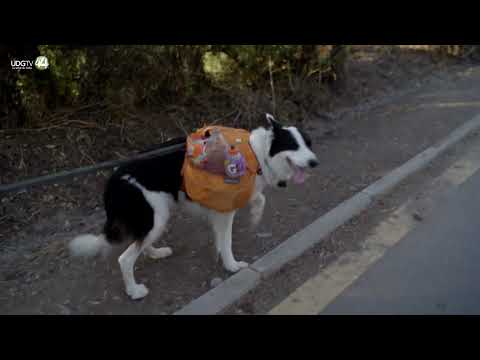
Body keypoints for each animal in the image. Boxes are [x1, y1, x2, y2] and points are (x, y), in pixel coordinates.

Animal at [69, 114, 316, 300]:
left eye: (308, 144)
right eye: (294, 145)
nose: (315, 162)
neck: (256, 154)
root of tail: (114, 179)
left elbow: (256, 201)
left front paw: (255, 215)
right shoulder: (225, 211)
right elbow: (227, 242)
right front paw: (232, 265)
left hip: (155, 219)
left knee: (140, 242)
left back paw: (156, 252)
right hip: (155, 217)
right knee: (125, 259)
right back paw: (134, 291)